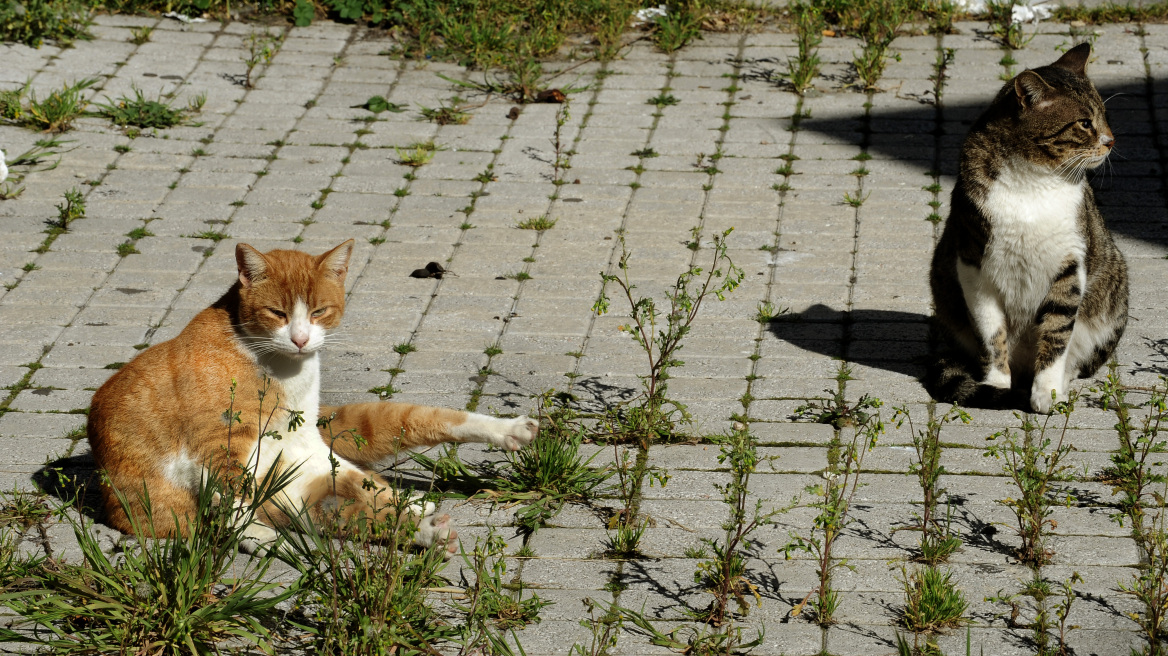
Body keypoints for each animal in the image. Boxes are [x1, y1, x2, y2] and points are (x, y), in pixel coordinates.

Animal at [88, 236, 539, 548]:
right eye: (277, 313)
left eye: (319, 311)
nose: (302, 339)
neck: (282, 368)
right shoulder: (216, 444)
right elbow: (230, 497)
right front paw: (255, 535)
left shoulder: (307, 441)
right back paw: (428, 527)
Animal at [925, 43, 1125, 410]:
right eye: (1084, 123)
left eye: (1104, 116)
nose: (1111, 141)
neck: (1034, 181)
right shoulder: (973, 265)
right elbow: (991, 333)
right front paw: (996, 385)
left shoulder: (1070, 262)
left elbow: (1057, 331)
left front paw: (1047, 392)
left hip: (1113, 296)